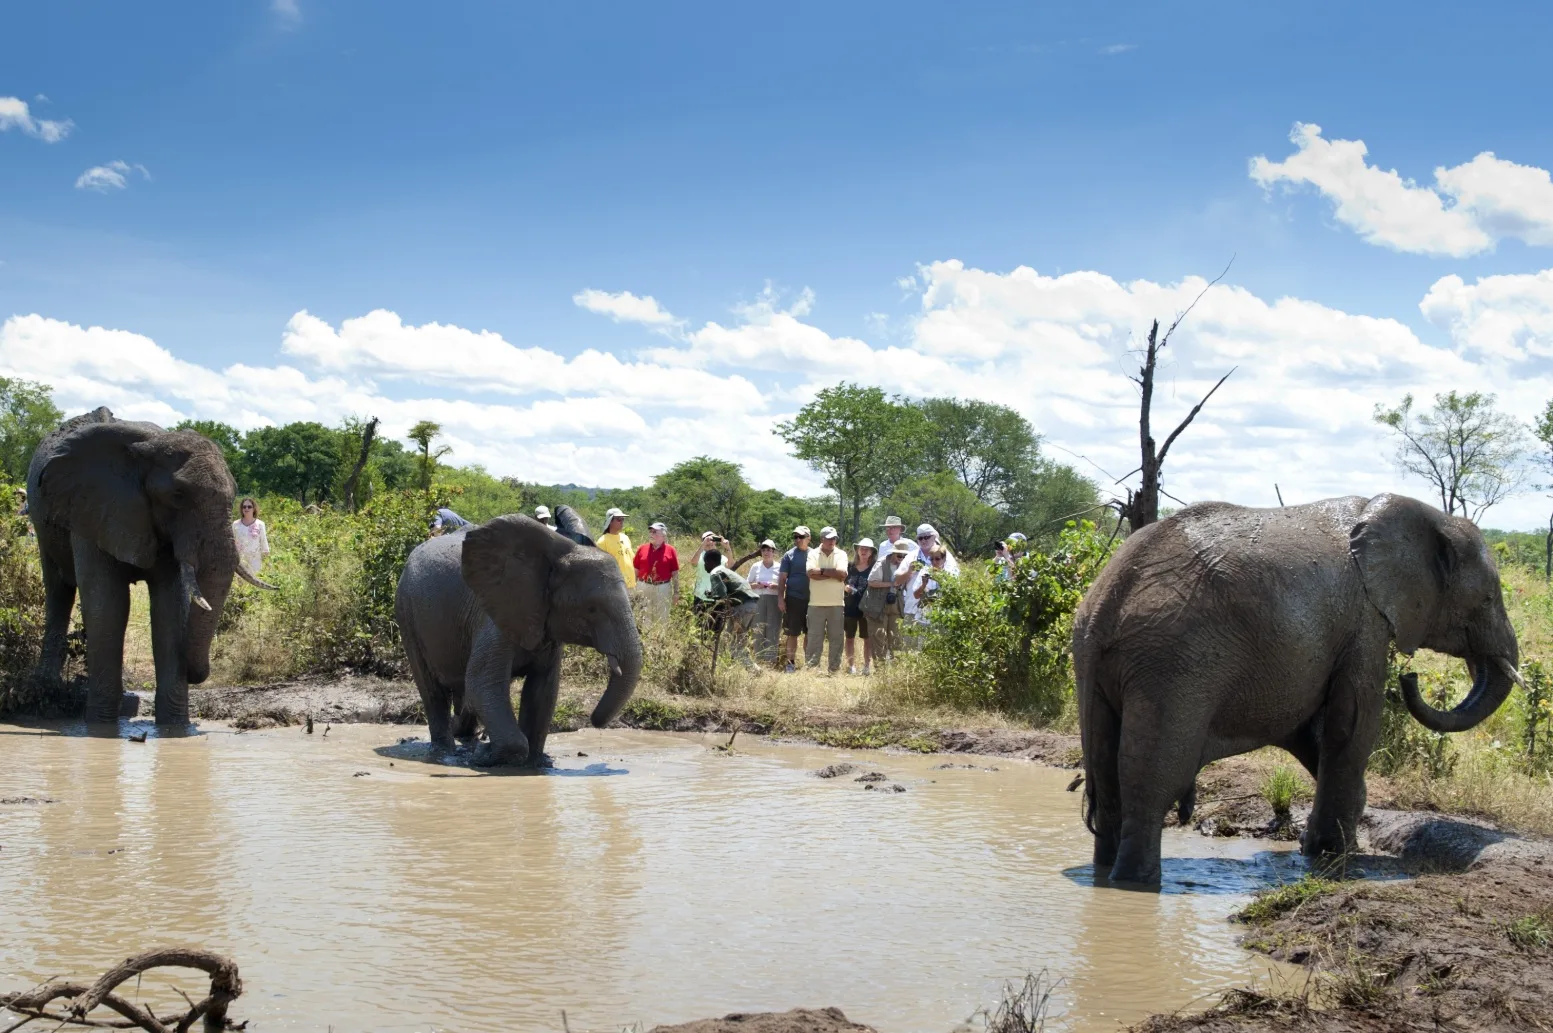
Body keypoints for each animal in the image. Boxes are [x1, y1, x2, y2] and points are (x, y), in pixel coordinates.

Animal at [28, 407, 274, 725]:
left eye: (235, 497)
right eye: (178, 495)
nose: (194, 674)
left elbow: (169, 606)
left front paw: (175, 728)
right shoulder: (93, 509)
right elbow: (108, 604)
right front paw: (100, 725)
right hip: (43, 522)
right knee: (58, 591)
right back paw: (47, 689)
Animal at [394, 506, 642, 767]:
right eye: (592, 609)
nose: (595, 721)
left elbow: (542, 690)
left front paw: (534, 763)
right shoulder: (494, 617)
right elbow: (483, 683)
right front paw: (485, 755)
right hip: (406, 612)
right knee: (433, 691)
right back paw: (445, 753)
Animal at [1072, 493, 1522, 887]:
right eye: (1487, 598)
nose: (1409, 679)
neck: (1424, 514)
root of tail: (1107, 602)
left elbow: (1313, 733)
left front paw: (1326, 844)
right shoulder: (1366, 621)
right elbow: (1353, 723)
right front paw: (1331, 855)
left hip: (1097, 661)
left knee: (1107, 779)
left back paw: (1105, 874)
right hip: (1175, 665)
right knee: (1152, 783)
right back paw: (1137, 884)